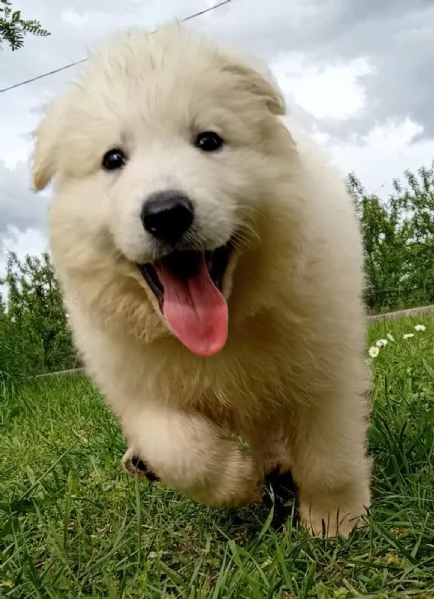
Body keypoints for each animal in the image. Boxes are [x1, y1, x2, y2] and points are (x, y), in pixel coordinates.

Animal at [32, 22, 372, 540]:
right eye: (113, 159)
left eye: (208, 141)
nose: (166, 213)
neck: (224, 330)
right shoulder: (135, 381)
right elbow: (179, 449)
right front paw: (237, 481)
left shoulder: (324, 366)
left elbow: (328, 452)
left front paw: (335, 522)